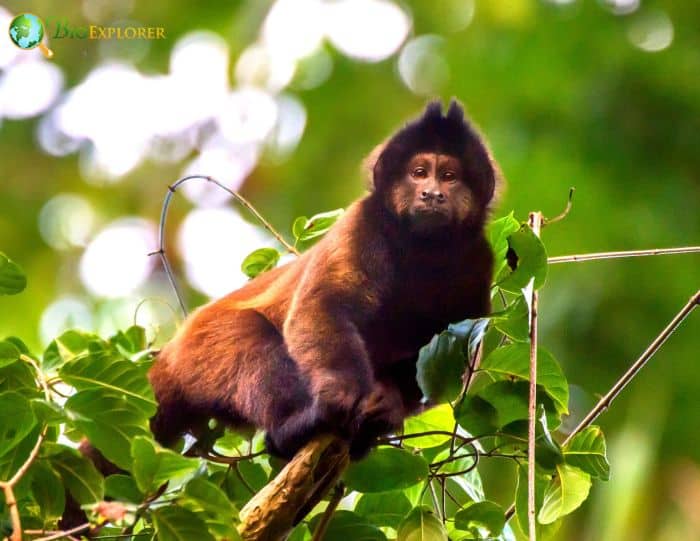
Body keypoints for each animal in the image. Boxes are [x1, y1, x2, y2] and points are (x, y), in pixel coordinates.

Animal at [148, 100, 501, 459]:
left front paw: (387, 405)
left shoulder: (478, 262)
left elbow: (453, 360)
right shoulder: (362, 224)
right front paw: (343, 396)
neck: (421, 250)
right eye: (419, 173)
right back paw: (295, 426)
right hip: (203, 344)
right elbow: (324, 305)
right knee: (251, 342)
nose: (432, 193)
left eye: (449, 177)